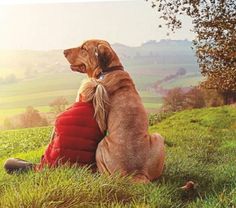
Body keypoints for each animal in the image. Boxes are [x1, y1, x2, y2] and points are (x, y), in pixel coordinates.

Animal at [63, 39, 165, 183]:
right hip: (158, 138)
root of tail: (136, 173)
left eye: (84, 48)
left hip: (101, 146)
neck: (108, 69)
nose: (64, 51)